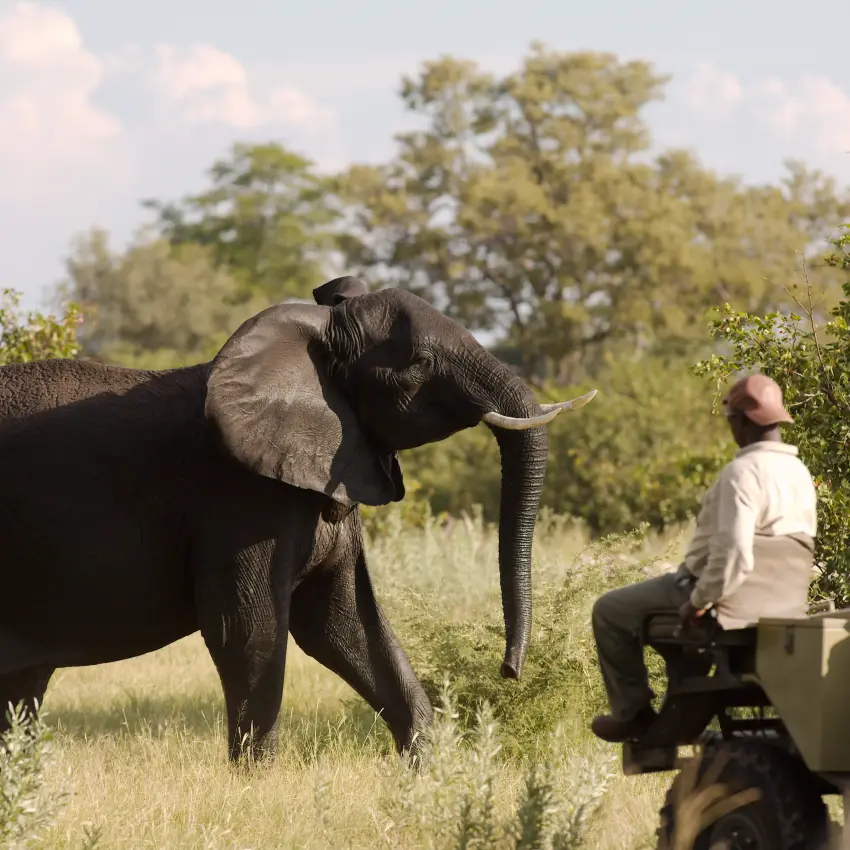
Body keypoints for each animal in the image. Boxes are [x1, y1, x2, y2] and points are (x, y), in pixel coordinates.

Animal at [0, 276, 596, 762]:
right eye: (418, 366)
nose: (509, 670)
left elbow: (346, 624)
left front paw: (434, 775)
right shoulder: (239, 497)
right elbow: (249, 629)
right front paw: (253, 782)